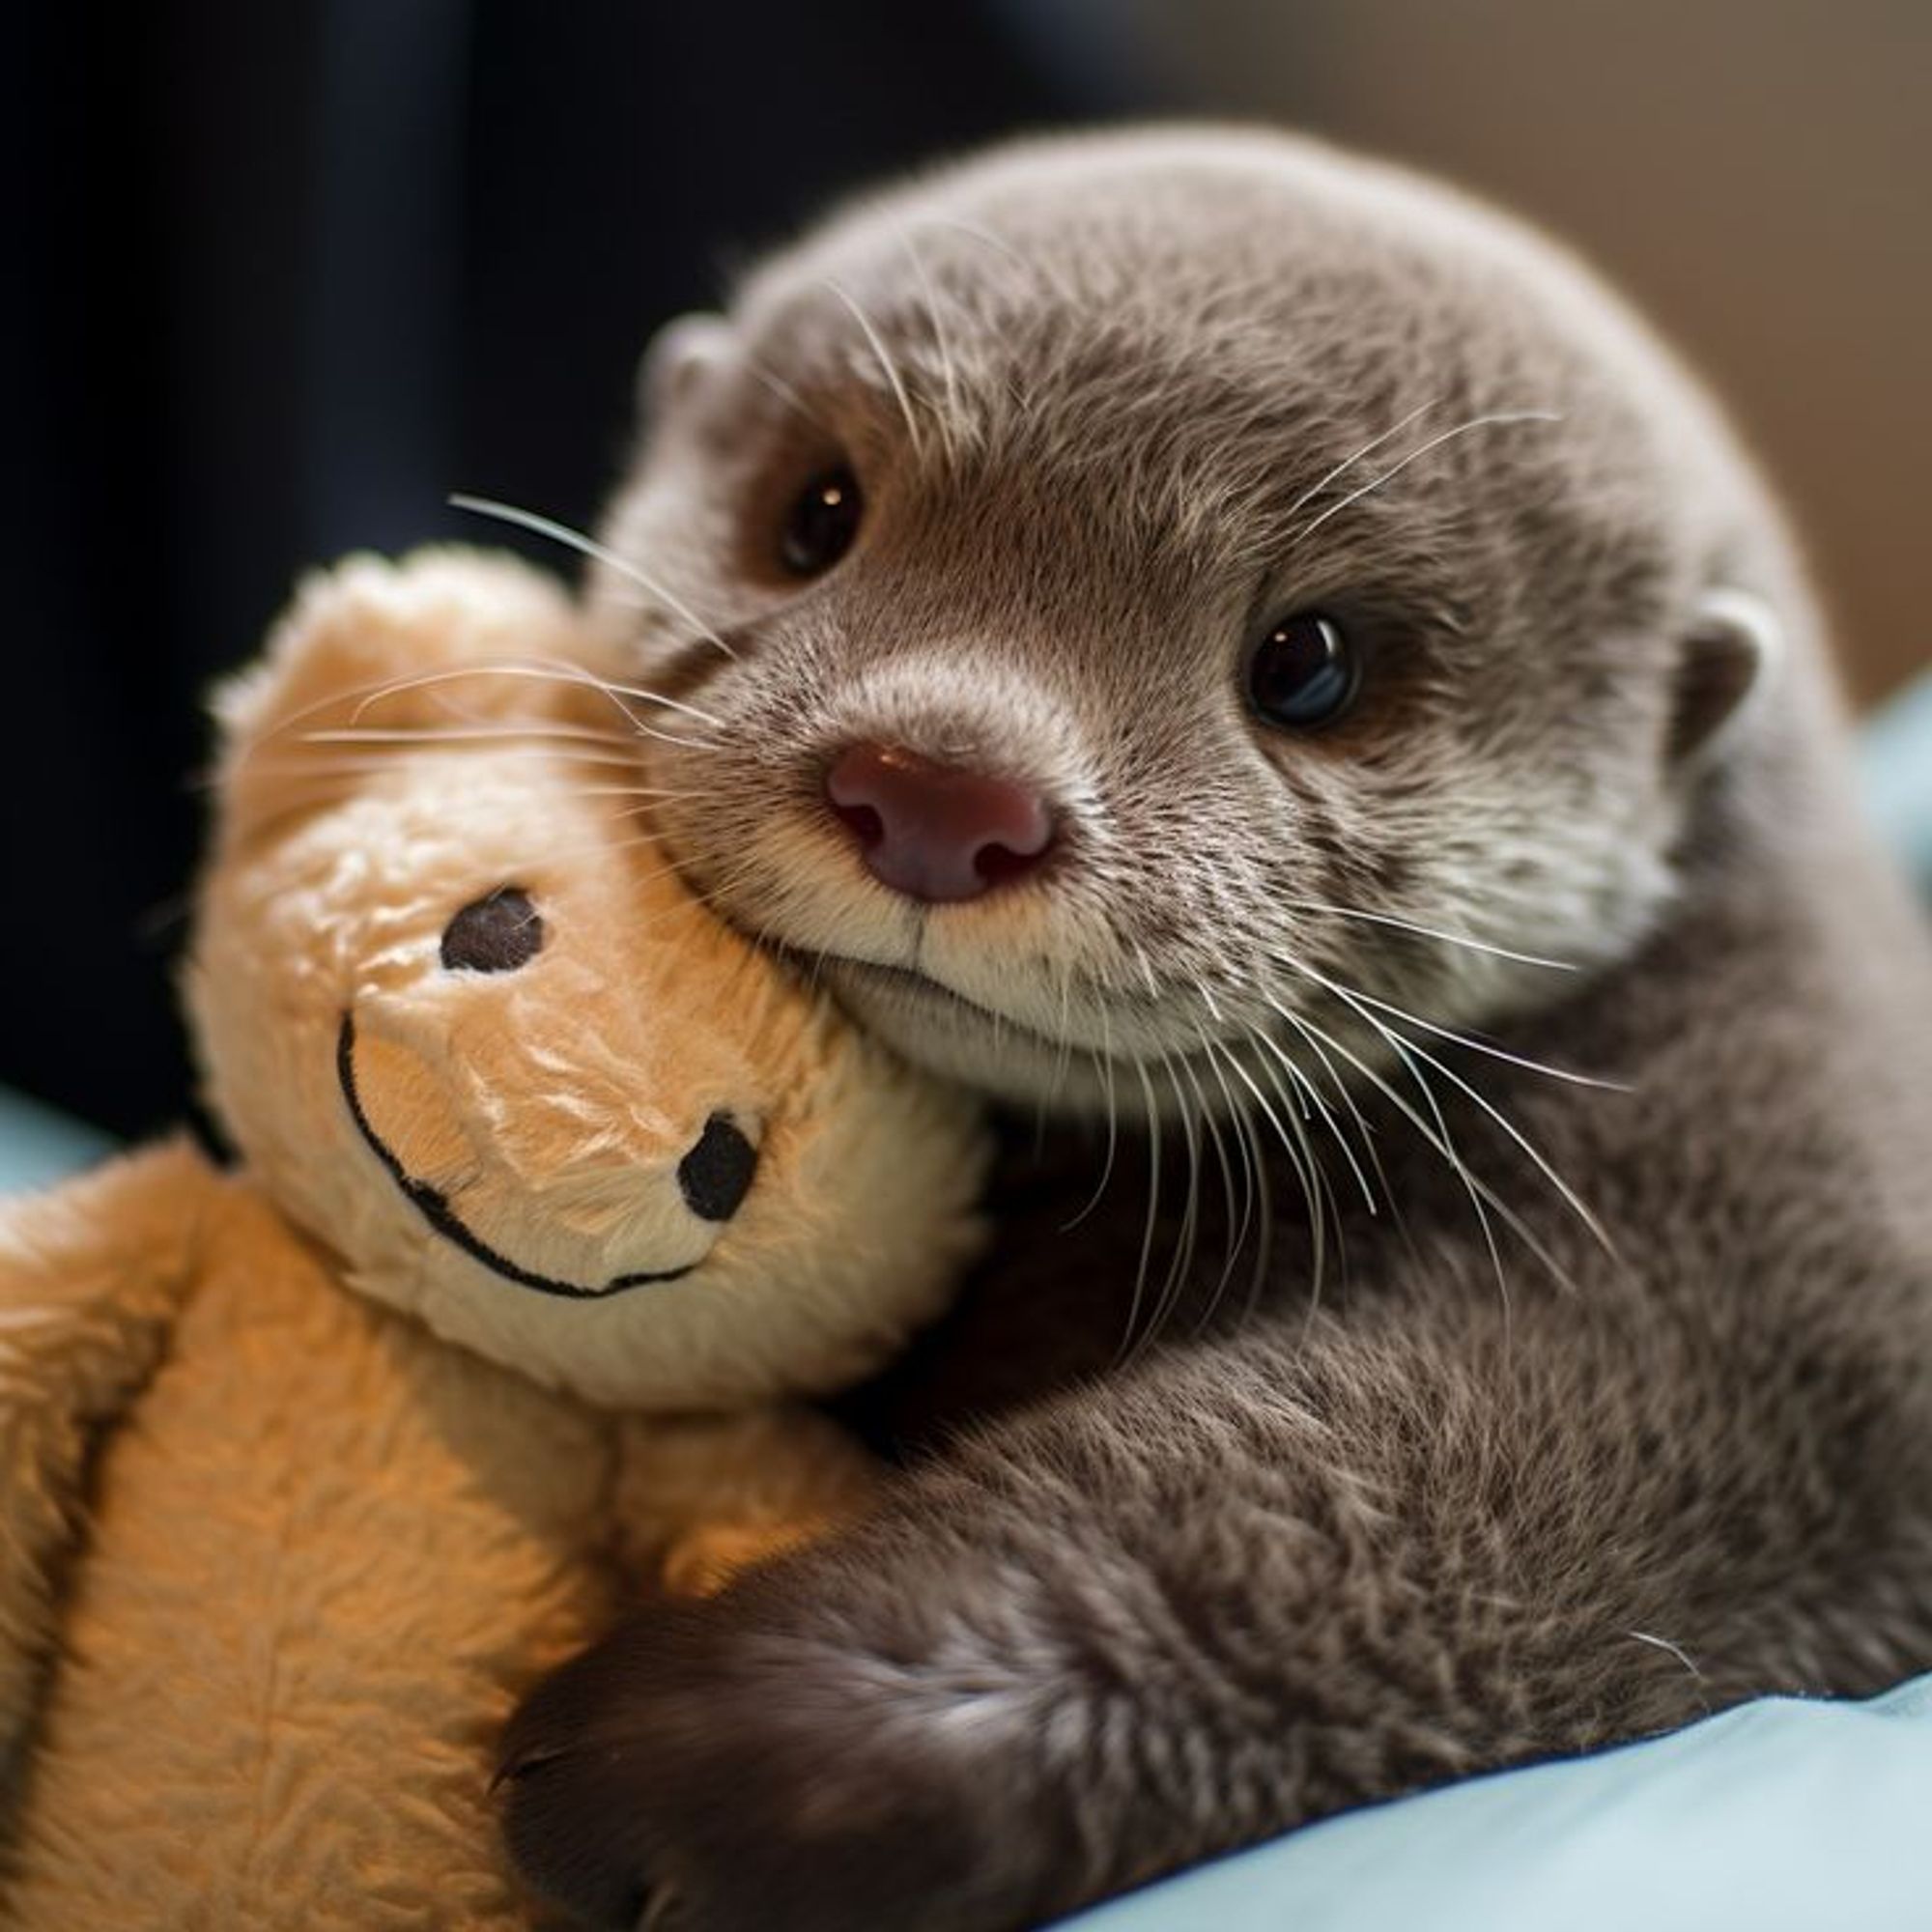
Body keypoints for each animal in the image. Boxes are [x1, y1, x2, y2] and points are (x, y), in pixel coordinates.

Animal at [502, 128, 1932, 1924]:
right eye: (815, 515)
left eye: (1308, 663)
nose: (938, 789)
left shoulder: (1788, 1297)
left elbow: (1356, 1501)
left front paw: (712, 1752)